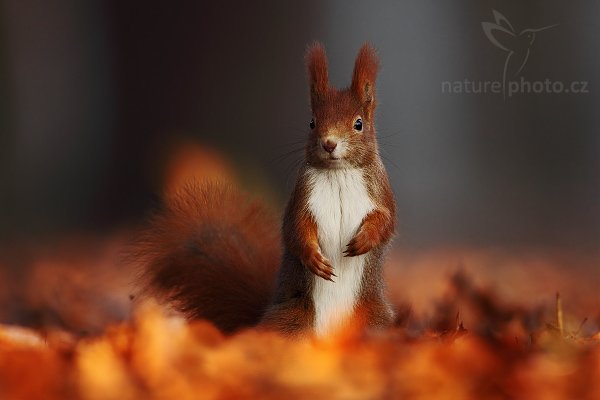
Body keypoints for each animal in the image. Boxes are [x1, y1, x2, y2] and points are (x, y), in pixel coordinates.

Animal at [137, 42, 398, 336]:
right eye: (312, 122)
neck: (338, 172)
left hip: (373, 321)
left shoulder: (379, 190)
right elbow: (296, 228)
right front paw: (313, 258)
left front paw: (364, 239)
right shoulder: (303, 196)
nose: (329, 143)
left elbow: (386, 221)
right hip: (291, 318)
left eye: (358, 124)